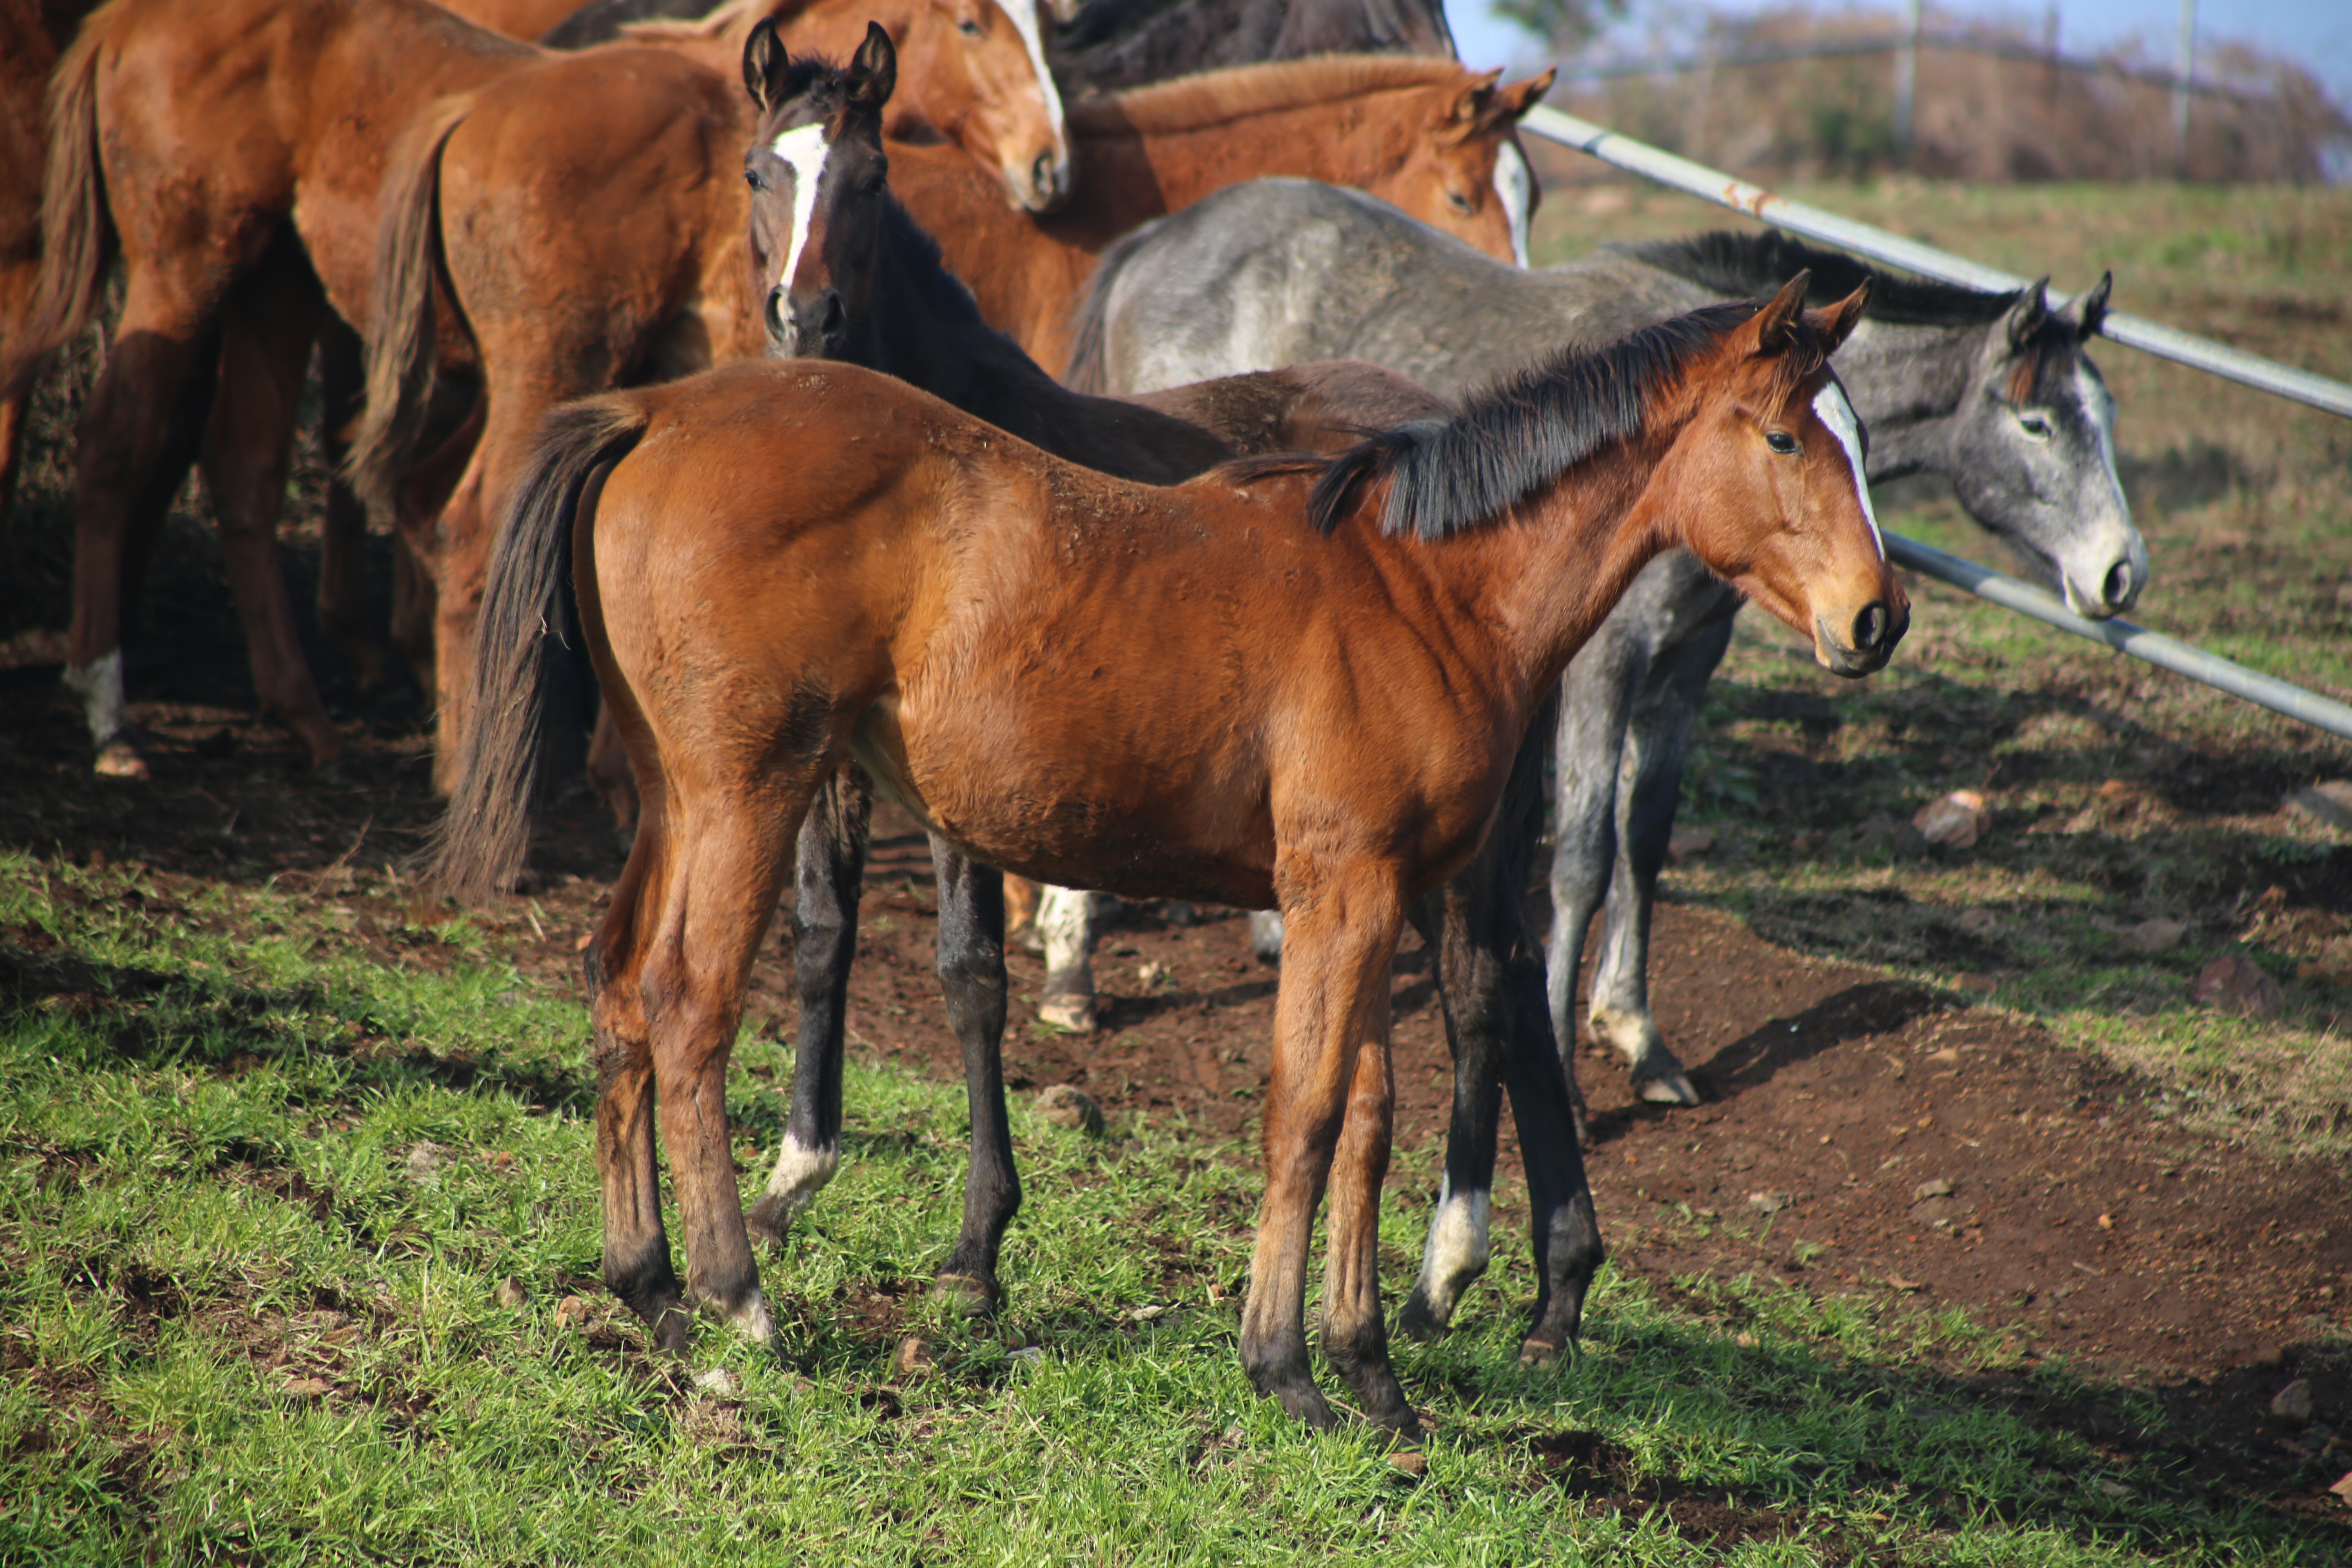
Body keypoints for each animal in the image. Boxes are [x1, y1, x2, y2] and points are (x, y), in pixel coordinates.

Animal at [442, 282, 1900, 1439]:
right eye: (1783, 435)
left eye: (1865, 445)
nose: (1876, 618)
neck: (1424, 590)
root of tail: (654, 413)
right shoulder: (1343, 891)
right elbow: (1306, 1111)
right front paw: (1284, 1365)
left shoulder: (1364, 893)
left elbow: (1366, 1115)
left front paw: (1371, 1368)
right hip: (747, 794)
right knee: (687, 1009)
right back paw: (740, 1302)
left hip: (672, 800)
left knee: (617, 989)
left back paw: (648, 1286)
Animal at [1077, 181, 2145, 1335]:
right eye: (2037, 422)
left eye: (2106, 417)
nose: (2119, 574)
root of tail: (1160, 237)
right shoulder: (1602, 661)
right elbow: (1584, 855)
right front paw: (1570, 1055)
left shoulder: (1684, 665)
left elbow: (1646, 836)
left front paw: (1637, 1036)